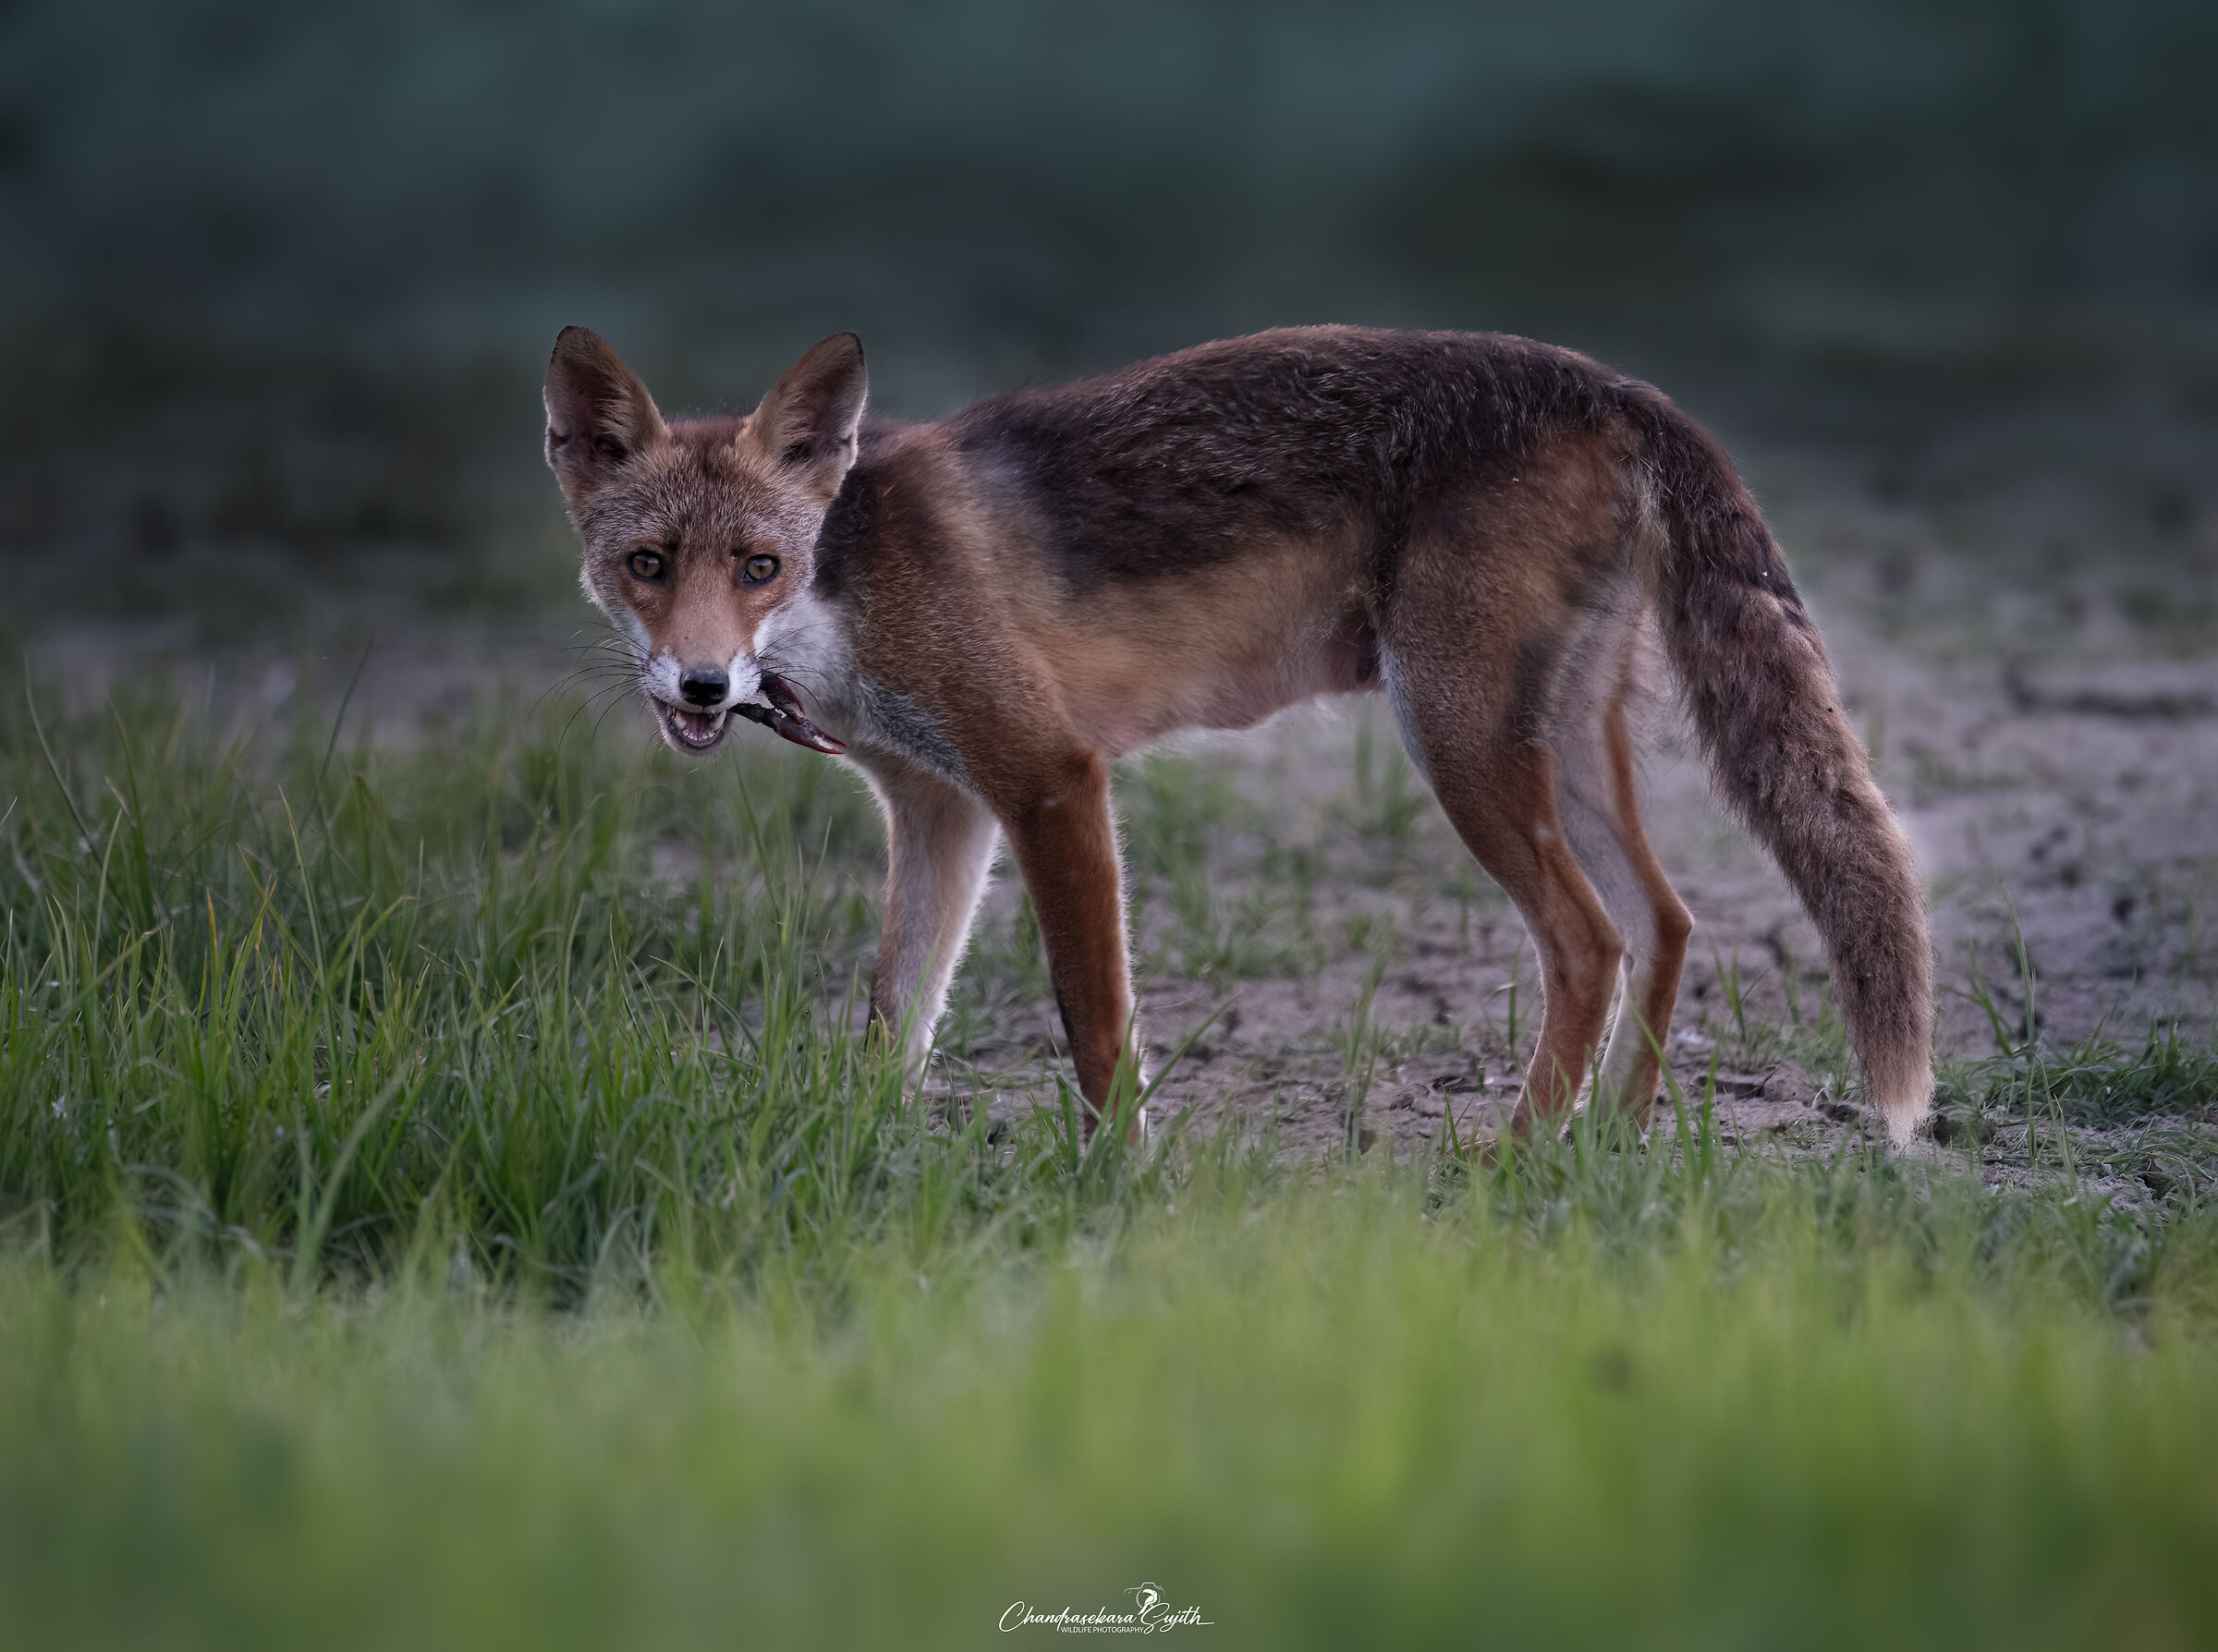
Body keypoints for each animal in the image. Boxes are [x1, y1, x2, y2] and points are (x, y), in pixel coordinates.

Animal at [543, 324, 1934, 1146]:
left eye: (760, 566)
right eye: (648, 565)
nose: (705, 686)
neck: (847, 591)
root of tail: (1612, 380)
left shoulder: (1048, 779)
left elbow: (1094, 1025)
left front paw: (1116, 1184)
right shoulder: (942, 810)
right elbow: (898, 1017)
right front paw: (861, 1158)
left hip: (1458, 740)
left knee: (1591, 941)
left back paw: (1521, 1161)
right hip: (1558, 745)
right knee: (1669, 918)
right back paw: (1613, 1150)